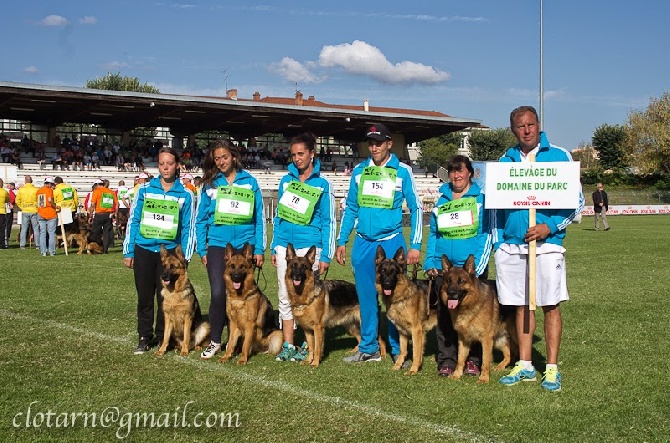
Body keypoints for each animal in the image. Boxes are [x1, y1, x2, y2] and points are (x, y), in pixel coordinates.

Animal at [376, 246, 438, 374]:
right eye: (383, 271)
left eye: (394, 271)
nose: (387, 284)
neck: (401, 297)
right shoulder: (402, 331)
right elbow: (403, 351)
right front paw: (397, 366)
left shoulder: (416, 330)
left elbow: (416, 352)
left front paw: (413, 369)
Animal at [440, 255, 520, 384]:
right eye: (449, 281)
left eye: (461, 281)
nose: (451, 293)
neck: (468, 307)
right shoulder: (463, 339)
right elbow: (460, 359)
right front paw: (457, 375)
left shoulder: (486, 339)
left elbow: (485, 361)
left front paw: (484, 378)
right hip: (498, 340)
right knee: (510, 353)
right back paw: (500, 366)